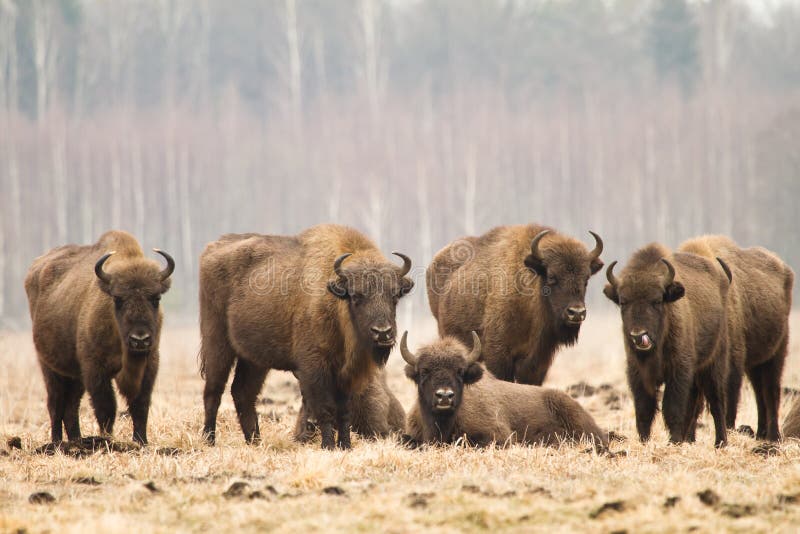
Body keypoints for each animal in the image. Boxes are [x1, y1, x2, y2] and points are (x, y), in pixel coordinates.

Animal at [24, 230, 174, 444]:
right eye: (118, 299)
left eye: (156, 298)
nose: (139, 339)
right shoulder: (95, 369)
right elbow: (106, 407)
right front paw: (107, 440)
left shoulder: (149, 365)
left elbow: (140, 405)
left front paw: (141, 441)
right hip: (49, 367)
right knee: (56, 403)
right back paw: (57, 443)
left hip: (75, 375)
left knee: (71, 406)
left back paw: (76, 441)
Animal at [199, 225, 413, 449]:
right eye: (356, 296)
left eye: (395, 295)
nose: (383, 332)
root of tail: (212, 248)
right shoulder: (314, 368)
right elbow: (325, 409)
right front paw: (328, 446)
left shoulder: (345, 375)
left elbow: (344, 411)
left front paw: (345, 445)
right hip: (217, 344)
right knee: (213, 392)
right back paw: (210, 440)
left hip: (254, 361)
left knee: (243, 393)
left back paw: (255, 442)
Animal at [604, 243, 731, 446]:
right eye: (623, 301)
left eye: (657, 300)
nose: (638, 336)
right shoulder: (637, 373)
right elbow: (644, 409)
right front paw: (644, 441)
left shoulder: (678, 371)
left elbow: (672, 408)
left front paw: (674, 441)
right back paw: (690, 440)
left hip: (714, 363)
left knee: (716, 401)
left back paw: (720, 443)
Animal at [679, 235, 793, 441]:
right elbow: (694, 401)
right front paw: (688, 438)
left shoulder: (732, 363)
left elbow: (727, 399)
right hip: (755, 364)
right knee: (759, 393)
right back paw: (761, 433)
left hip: (777, 352)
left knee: (771, 391)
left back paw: (773, 436)